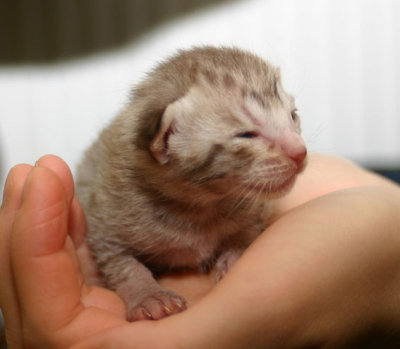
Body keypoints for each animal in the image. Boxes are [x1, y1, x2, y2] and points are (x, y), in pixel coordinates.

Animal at [75, 46, 306, 320]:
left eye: (293, 116)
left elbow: (246, 233)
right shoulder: (104, 221)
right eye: (247, 135)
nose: (300, 152)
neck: (200, 203)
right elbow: (122, 263)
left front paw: (234, 256)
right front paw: (148, 296)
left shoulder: (255, 210)